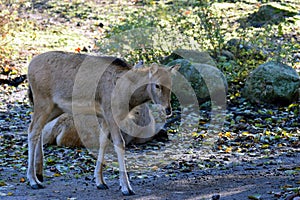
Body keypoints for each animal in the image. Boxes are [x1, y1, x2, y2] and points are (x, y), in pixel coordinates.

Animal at [26, 51, 178, 195]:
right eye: (157, 85)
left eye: (171, 84)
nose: (168, 109)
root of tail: (29, 67)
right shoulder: (111, 114)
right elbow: (119, 144)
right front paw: (126, 187)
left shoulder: (105, 118)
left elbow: (103, 142)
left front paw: (100, 182)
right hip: (42, 101)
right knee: (32, 130)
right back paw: (33, 180)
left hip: (55, 107)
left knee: (38, 129)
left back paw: (39, 174)